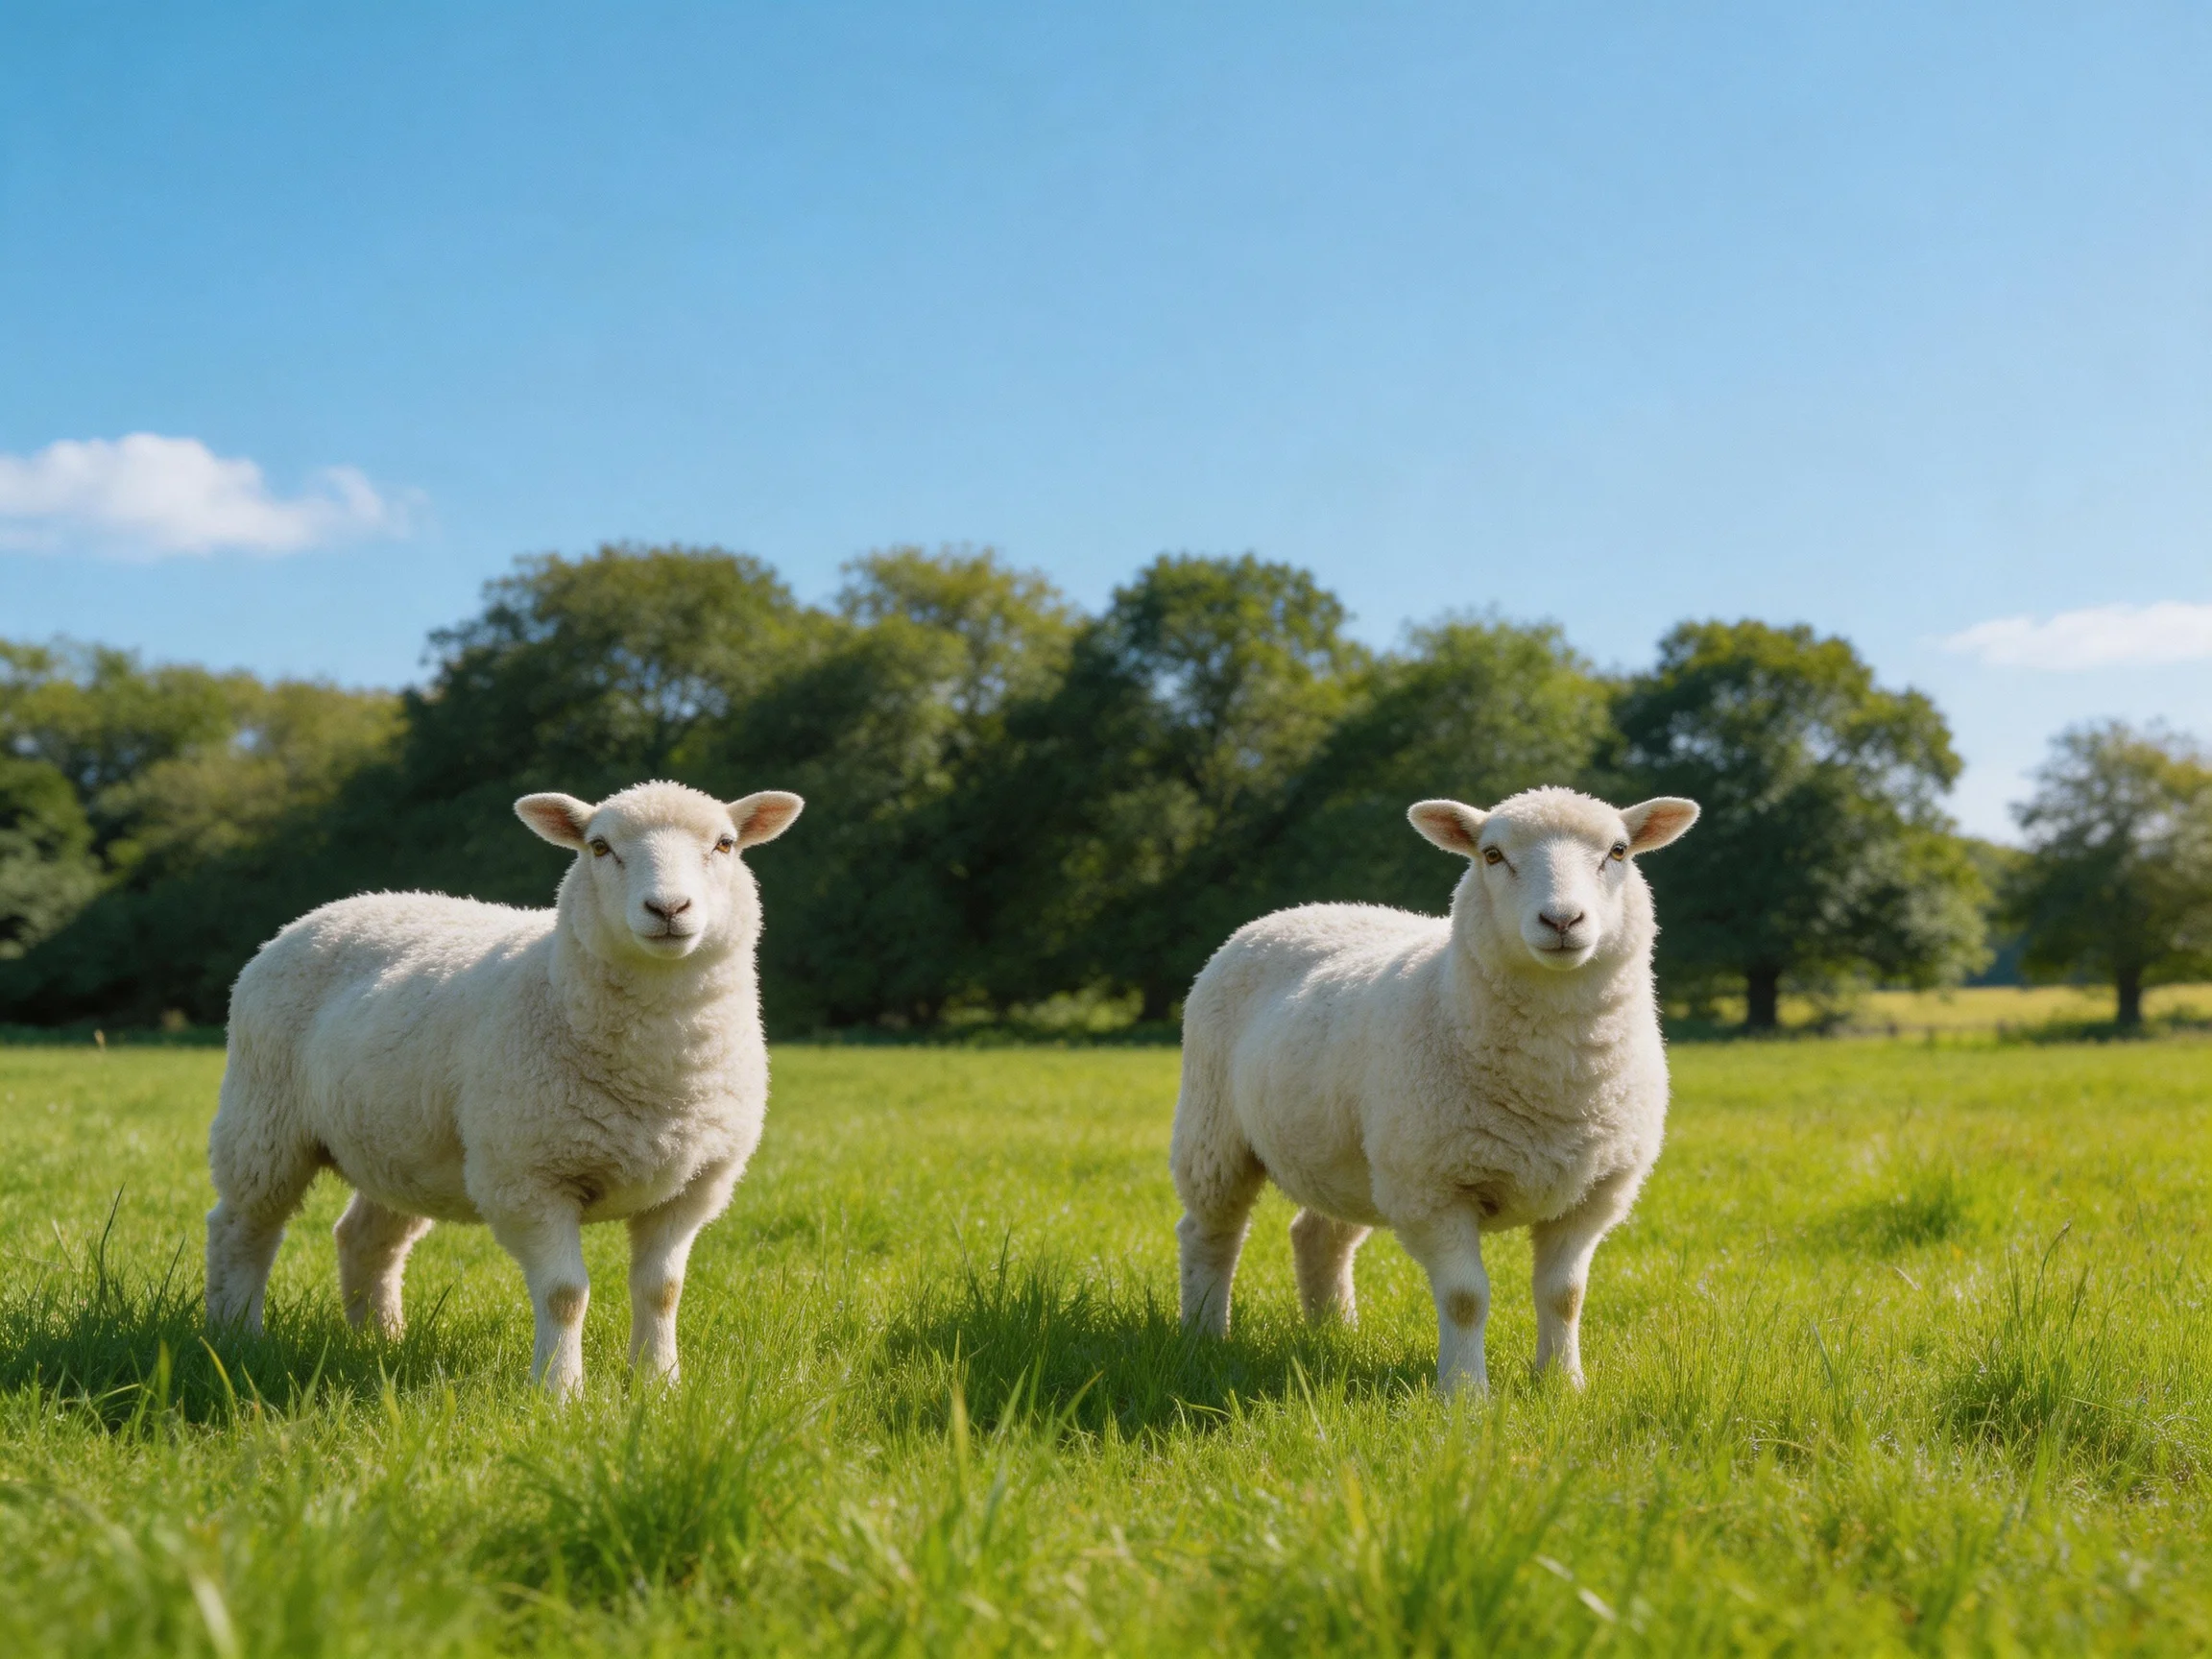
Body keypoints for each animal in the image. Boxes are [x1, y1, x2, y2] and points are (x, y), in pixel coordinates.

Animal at [204, 779, 803, 1396]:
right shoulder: (528, 1178)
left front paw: (658, 1384)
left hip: (400, 1145)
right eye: (600, 847)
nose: (667, 909)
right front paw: (560, 1393)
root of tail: (331, 908)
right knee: (242, 1228)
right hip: (263, 1118)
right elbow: (565, 1295)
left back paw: (380, 1340)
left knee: (365, 1238)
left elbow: (661, 1290)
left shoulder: (694, 1185)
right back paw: (236, 1336)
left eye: (725, 844)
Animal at [1169, 786, 1699, 1395]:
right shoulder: (1434, 1188)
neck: (1554, 1083)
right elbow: (1466, 1299)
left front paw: (1563, 1385)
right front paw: (1466, 1394)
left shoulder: (1594, 1192)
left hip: (1351, 1157)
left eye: (1618, 851)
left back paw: (1335, 1333)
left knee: (1318, 1236)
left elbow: (1565, 1295)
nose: (1562, 920)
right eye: (1492, 855)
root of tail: (1302, 909)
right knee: (1210, 1232)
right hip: (1214, 1130)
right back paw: (1205, 1333)